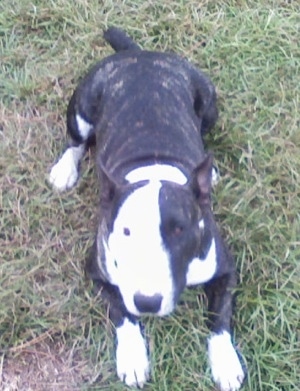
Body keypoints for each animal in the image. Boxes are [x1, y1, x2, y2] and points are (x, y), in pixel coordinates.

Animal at [49, 26, 245, 390]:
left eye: (180, 230)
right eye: (125, 231)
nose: (148, 303)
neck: (154, 167)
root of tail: (137, 54)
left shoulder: (225, 270)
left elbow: (219, 319)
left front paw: (225, 363)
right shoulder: (99, 272)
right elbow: (122, 314)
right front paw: (133, 359)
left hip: (209, 104)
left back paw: (209, 171)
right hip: (81, 109)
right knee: (76, 141)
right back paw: (64, 170)